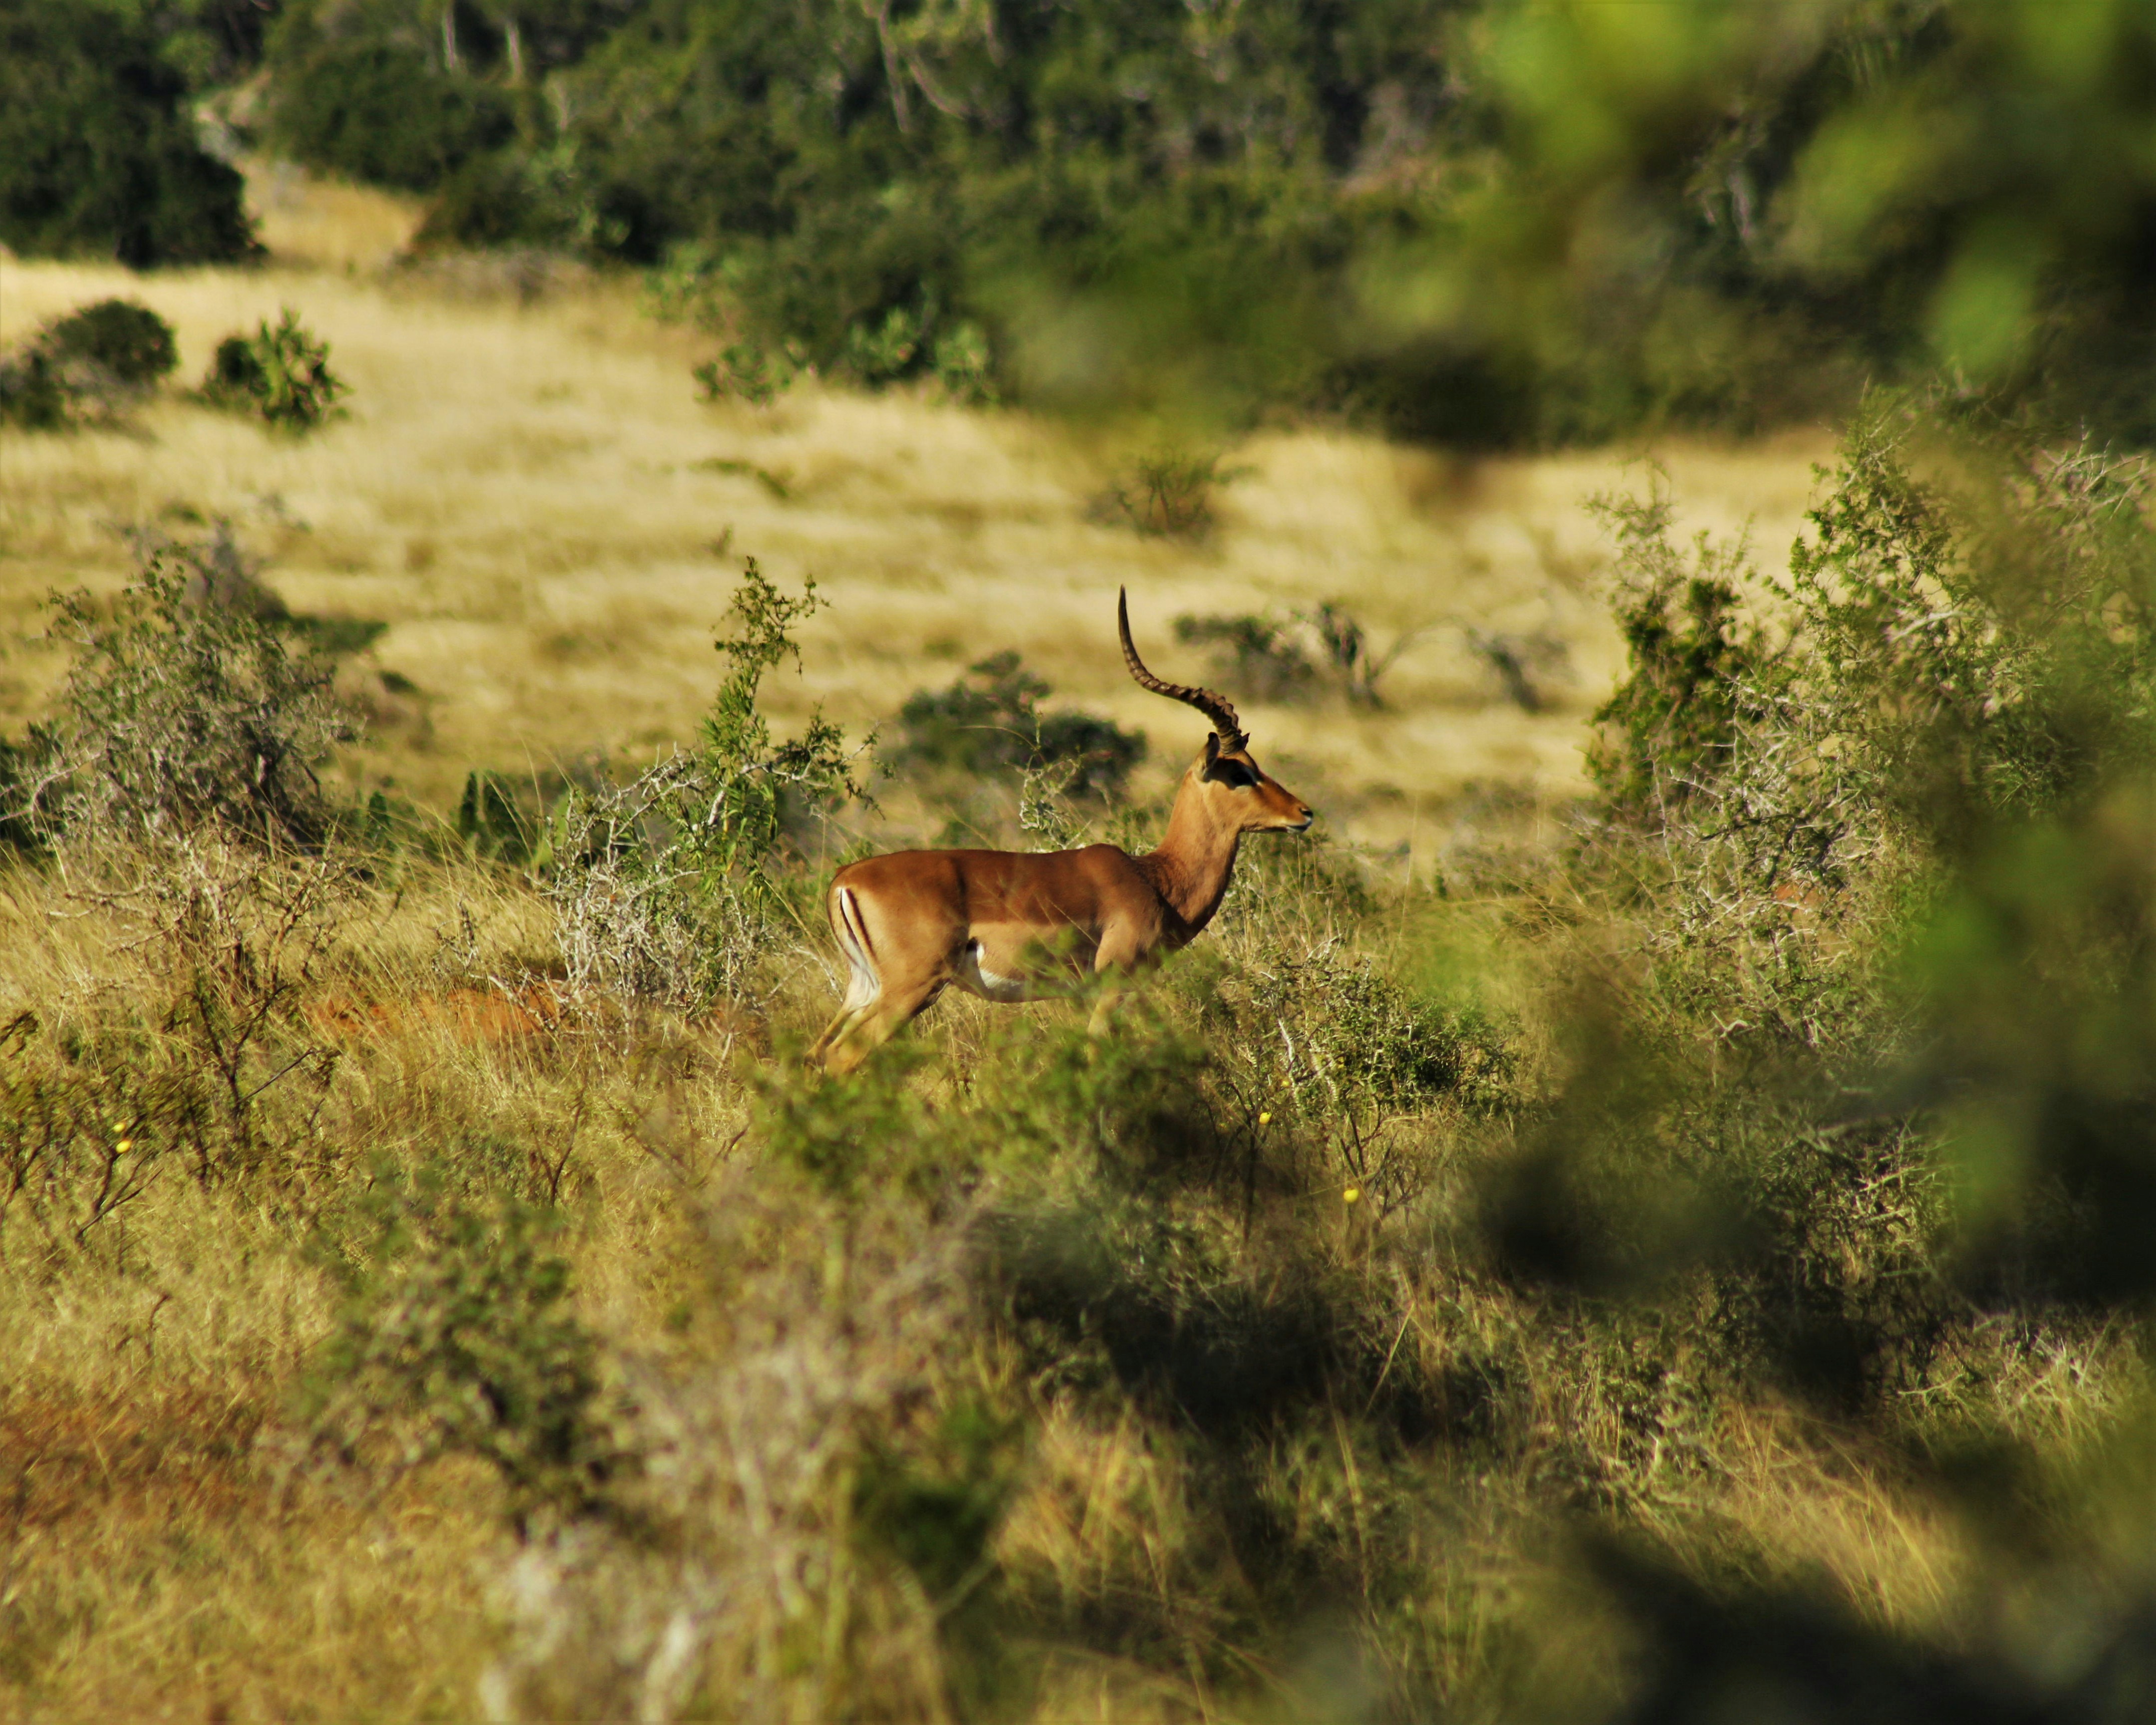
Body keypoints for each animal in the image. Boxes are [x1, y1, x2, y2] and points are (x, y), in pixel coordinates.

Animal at [811, 589, 1314, 1073]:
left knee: (816, 1053)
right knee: (841, 1058)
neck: (1157, 880)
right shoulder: (1111, 987)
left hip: (863, 990)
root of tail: (845, 881)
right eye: (1241, 773)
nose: (1304, 812)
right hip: (910, 989)